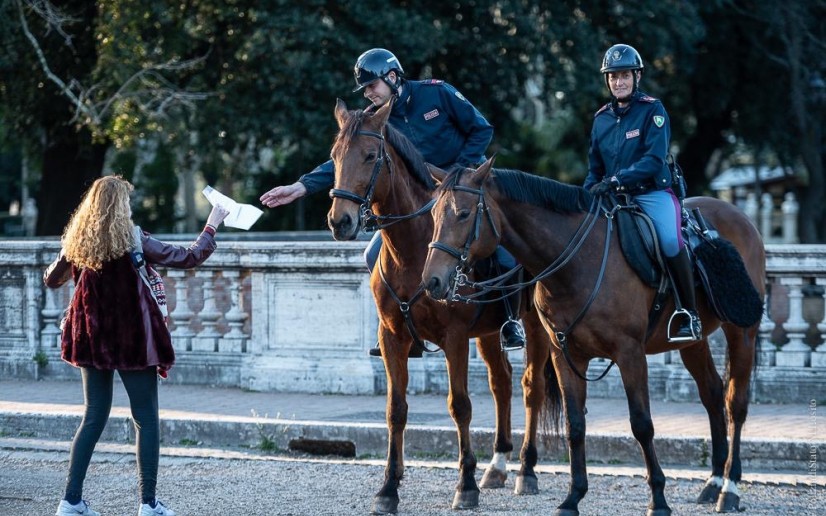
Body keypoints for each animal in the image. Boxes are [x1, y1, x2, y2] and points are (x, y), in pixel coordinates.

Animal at [326, 102, 556, 516]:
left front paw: (465, 485)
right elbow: (395, 409)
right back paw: (497, 465)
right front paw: (389, 487)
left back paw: (525, 470)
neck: (413, 250)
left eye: (369, 156)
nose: (340, 221)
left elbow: (460, 406)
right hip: (488, 333)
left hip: (534, 325)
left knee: (532, 387)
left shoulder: (455, 338)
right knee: (502, 382)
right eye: (334, 157)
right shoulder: (392, 338)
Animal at [424, 159, 768, 512]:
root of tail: (738, 216)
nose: (432, 280)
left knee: (735, 404)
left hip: (742, 332)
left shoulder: (630, 353)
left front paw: (658, 498)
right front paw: (573, 496)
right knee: (712, 393)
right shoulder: (566, 354)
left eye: (464, 213)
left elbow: (642, 424)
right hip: (691, 342)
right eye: (434, 214)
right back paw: (713, 483)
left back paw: (730, 488)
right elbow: (575, 425)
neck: (576, 262)